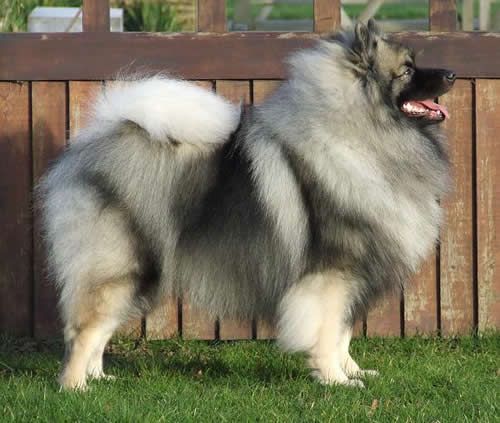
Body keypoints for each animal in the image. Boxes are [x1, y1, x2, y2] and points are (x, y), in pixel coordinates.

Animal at [38, 19, 454, 390]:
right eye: (407, 69)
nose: (451, 73)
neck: (360, 134)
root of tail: (96, 141)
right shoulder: (331, 275)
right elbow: (326, 333)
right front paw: (336, 381)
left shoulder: (351, 278)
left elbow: (342, 333)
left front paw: (352, 372)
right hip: (121, 267)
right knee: (85, 329)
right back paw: (75, 387)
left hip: (137, 274)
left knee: (100, 328)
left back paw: (99, 378)